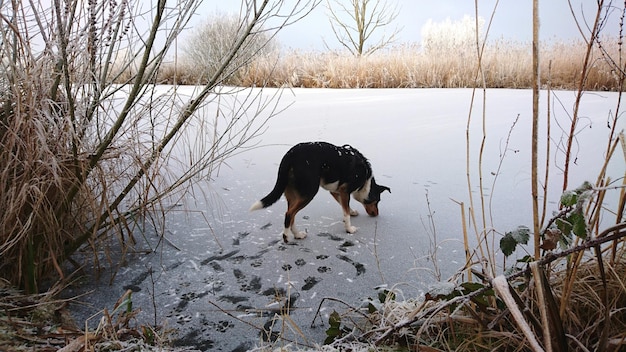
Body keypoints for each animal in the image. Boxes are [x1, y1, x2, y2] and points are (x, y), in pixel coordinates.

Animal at [250, 140, 390, 242]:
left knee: (291, 215)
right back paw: (286, 237)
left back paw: (298, 234)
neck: (365, 178)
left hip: (292, 194)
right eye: (377, 201)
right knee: (289, 214)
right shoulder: (344, 191)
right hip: (309, 192)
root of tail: (290, 155)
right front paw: (349, 229)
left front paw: (352, 212)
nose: (376, 214)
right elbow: (345, 213)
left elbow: (344, 207)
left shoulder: (336, 191)